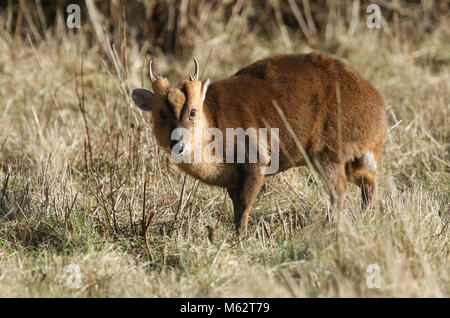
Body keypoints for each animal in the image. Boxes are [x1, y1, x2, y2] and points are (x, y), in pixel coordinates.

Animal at [130, 52, 386, 236]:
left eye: (193, 112)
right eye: (161, 114)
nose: (178, 144)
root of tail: (380, 113)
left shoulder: (256, 158)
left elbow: (244, 205)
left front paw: (241, 238)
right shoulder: (232, 178)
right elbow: (236, 207)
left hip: (330, 150)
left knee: (340, 190)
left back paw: (328, 227)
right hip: (345, 157)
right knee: (368, 180)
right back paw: (366, 217)